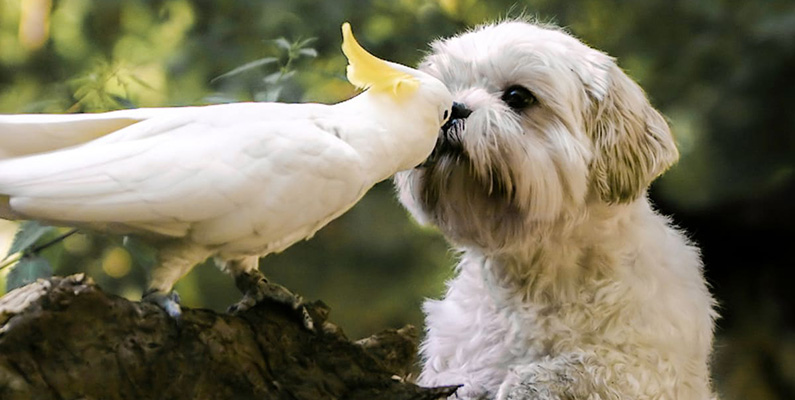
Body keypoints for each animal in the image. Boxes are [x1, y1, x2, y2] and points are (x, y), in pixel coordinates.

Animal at [394, 21, 720, 400]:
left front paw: (525, 381)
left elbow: (588, 365)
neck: (535, 274)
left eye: (517, 97)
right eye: (444, 93)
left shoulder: (655, 372)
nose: (452, 109)